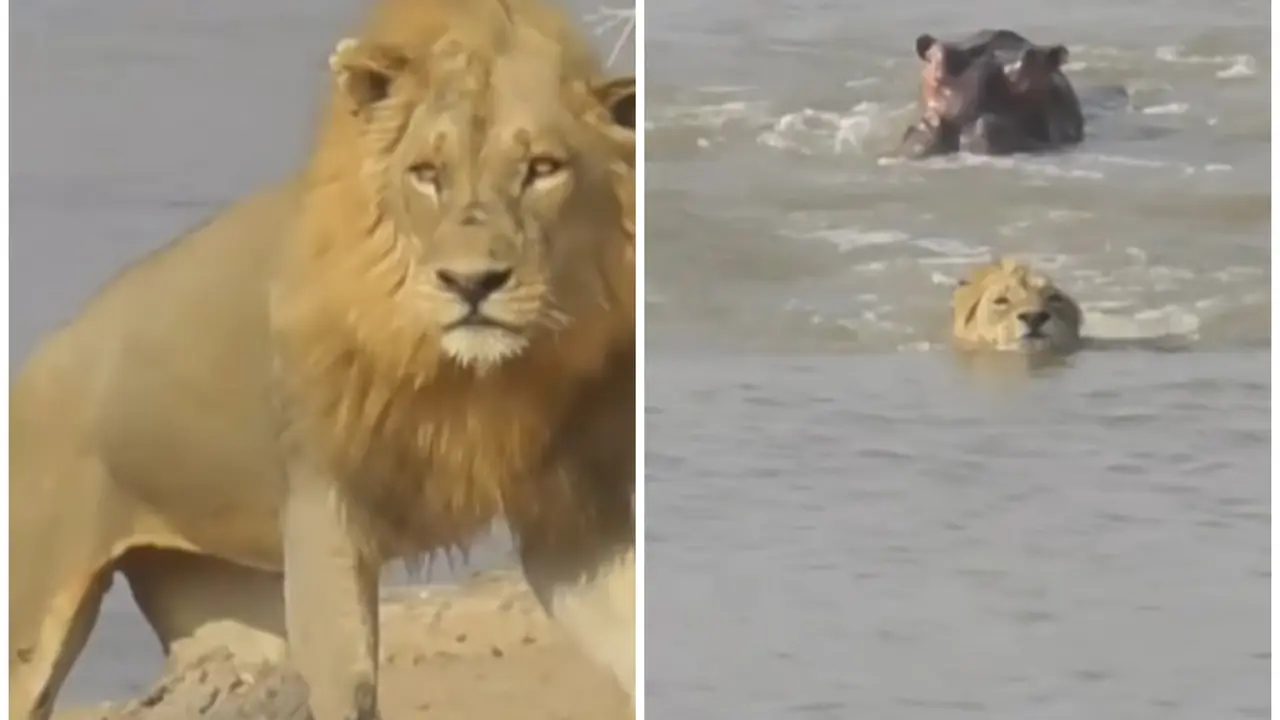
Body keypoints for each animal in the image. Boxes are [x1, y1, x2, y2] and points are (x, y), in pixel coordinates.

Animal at [9, 1, 636, 718]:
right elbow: (348, 682)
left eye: (542, 168)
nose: (472, 283)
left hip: (223, 611)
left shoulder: (573, 514)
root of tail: (34, 365)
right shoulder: (322, 505)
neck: (471, 375)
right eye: (427, 174)